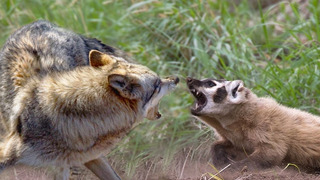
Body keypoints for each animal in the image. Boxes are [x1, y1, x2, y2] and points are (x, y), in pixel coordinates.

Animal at [186, 76, 320, 171]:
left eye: (210, 83)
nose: (189, 79)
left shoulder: (268, 126)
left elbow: (271, 152)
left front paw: (235, 167)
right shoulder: (238, 140)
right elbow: (220, 146)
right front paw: (220, 159)